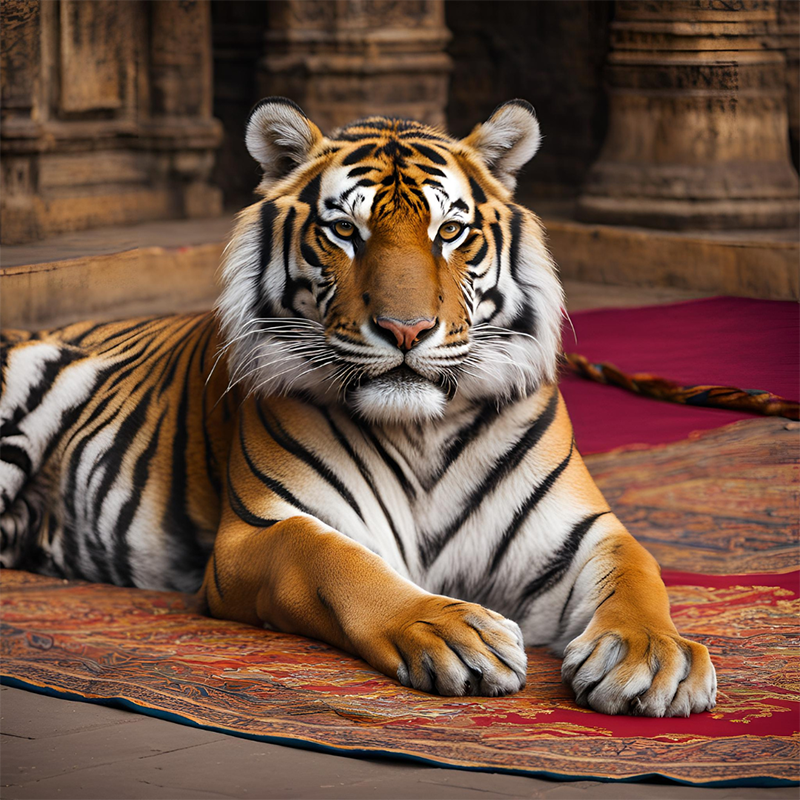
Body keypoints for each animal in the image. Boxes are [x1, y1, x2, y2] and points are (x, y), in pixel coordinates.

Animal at [0, 98, 716, 716]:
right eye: (344, 230)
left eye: (450, 231)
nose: (406, 330)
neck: (424, 429)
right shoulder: (254, 534)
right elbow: (332, 561)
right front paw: (453, 631)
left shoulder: (572, 534)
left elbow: (637, 569)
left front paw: (651, 656)